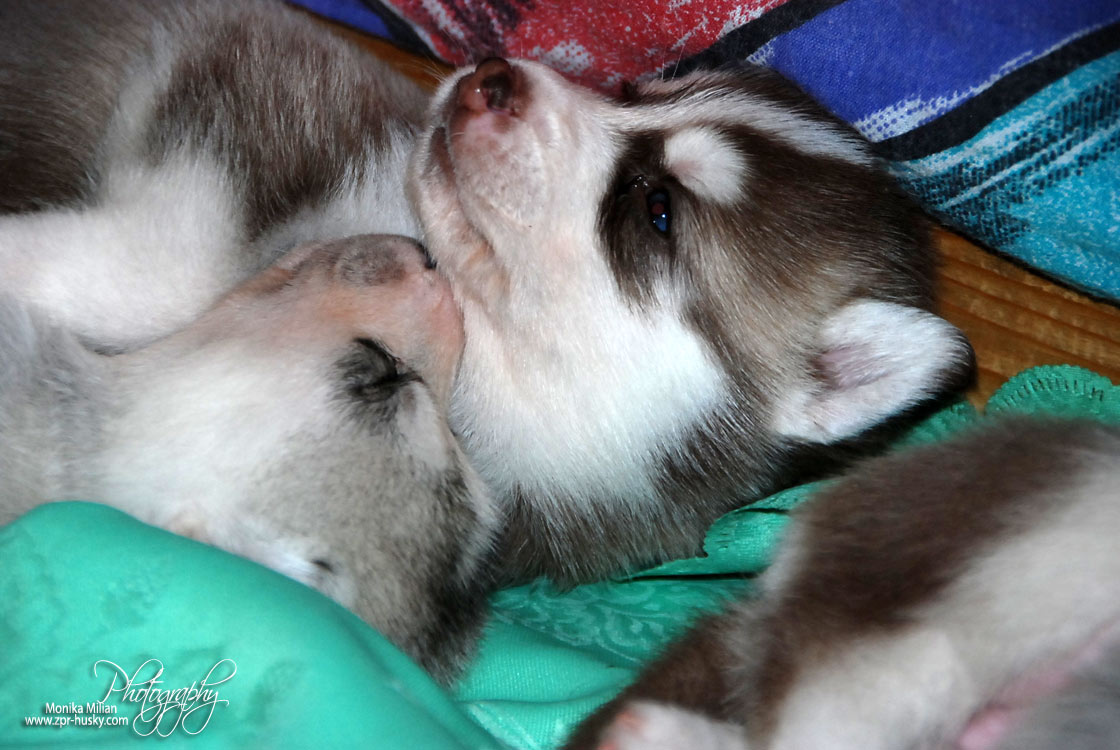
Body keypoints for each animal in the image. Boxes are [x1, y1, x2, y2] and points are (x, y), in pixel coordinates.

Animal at [1, 1, 971, 590]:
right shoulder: (246, 64)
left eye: (657, 211)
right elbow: (173, 270)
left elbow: (168, 275)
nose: (489, 76)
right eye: (633, 90)